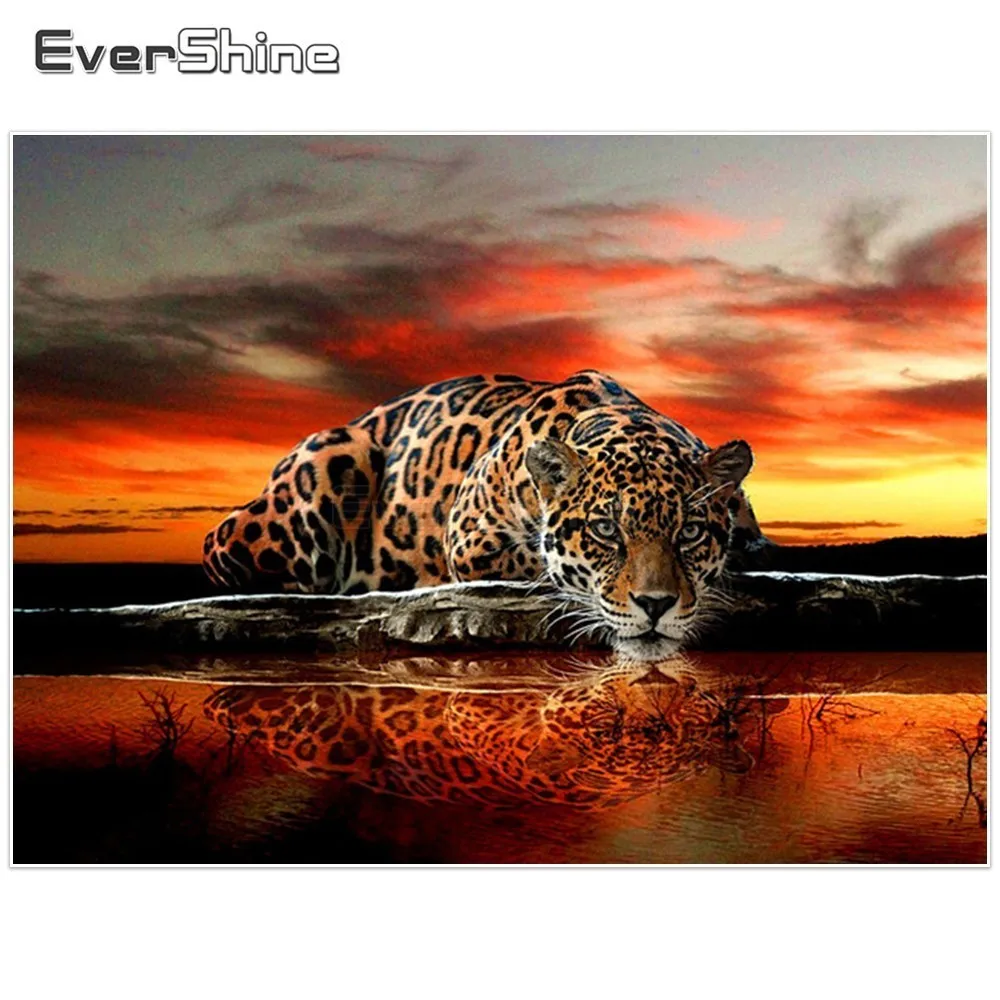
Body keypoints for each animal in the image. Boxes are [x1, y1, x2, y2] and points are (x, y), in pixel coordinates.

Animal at [203, 369, 766, 658]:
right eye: (606, 530)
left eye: (689, 532)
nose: (656, 605)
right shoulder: (472, 538)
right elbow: (539, 564)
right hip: (328, 460)